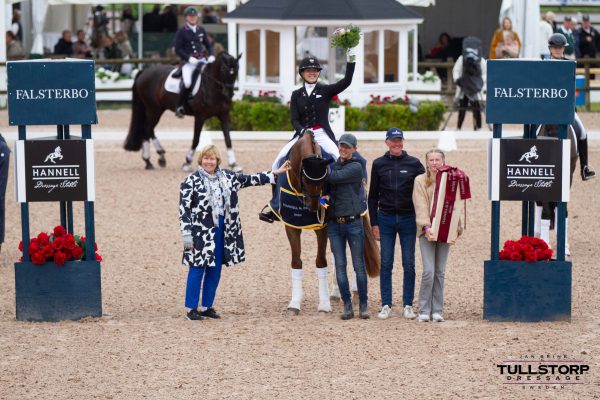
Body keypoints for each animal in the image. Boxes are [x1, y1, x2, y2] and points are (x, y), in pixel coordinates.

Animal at [282, 133, 380, 314]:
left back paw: (354, 293)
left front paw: (324, 304)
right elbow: (296, 261)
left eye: (324, 181)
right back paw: (336, 292)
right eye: (304, 179)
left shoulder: (323, 228)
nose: (314, 207)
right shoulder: (291, 225)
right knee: (337, 256)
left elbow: (321, 261)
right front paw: (294, 303)